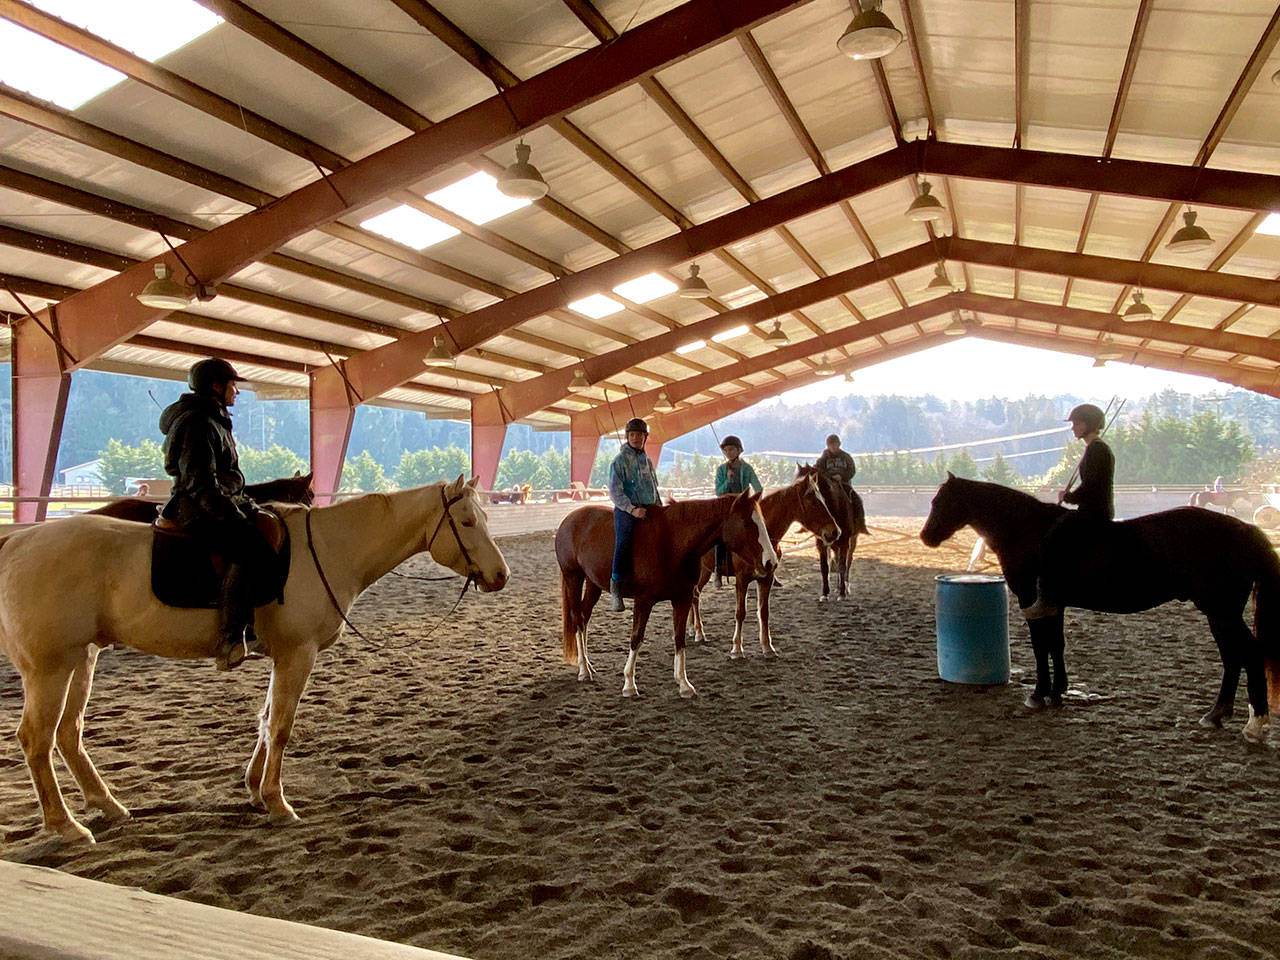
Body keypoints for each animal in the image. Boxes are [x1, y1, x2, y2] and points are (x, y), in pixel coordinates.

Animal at [0, 475, 509, 843]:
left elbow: (265, 721)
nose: (501, 575)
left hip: (80, 660)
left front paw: (254, 790)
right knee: (36, 740)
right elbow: (281, 726)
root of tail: (17, 544)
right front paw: (278, 803)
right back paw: (65, 825)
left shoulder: (283, 658)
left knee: (68, 734)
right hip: (50, 669)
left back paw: (107, 805)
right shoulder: (298, 655)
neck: (330, 548)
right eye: (466, 522)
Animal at [556, 491, 779, 697]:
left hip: (593, 584)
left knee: (584, 617)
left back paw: (588, 665)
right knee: (577, 619)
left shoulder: (682, 599)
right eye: (747, 523)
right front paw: (629, 684)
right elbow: (636, 638)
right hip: (573, 577)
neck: (672, 542)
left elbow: (679, 638)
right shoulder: (643, 601)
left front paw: (684, 684)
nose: (771, 562)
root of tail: (569, 520)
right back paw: (584, 671)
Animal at [688, 469, 840, 658]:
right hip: (703, 572)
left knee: (693, 595)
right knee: (695, 595)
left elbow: (764, 612)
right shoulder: (742, 579)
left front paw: (768, 647)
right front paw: (737, 648)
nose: (835, 532)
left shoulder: (767, 578)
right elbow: (740, 612)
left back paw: (692, 629)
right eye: (812, 501)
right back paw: (699, 632)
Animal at [798, 465, 868, 601]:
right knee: (836, 559)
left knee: (848, 562)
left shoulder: (845, 542)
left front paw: (842, 593)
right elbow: (825, 567)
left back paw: (845, 587)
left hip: (852, 541)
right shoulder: (821, 543)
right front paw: (825, 594)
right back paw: (837, 587)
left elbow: (842, 565)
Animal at [920, 473, 1280, 742]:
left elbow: (1040, 646)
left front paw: (1038, 694)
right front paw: (1057, 692)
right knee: (1233, 658)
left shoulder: (1030, 600)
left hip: (1221, 611)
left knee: (1248, 654)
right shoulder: (1054, 605)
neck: (1026, 530)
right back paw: (1216, 716)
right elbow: (1056, 645)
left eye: (939, 502)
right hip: (1219, 614)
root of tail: (1246, 529)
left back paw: (1255, 725)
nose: (926, 537)